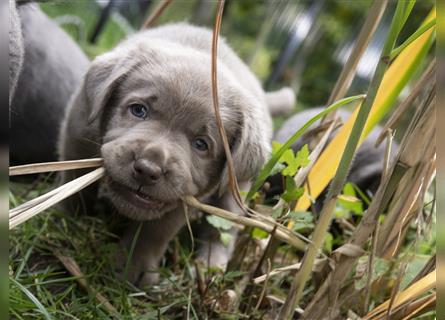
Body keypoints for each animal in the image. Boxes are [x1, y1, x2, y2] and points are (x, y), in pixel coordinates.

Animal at [59, 23, 294, 286]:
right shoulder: (78, 131)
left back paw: (211, 266)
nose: (148, 170)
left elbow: (154, 232)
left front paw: (134, 268)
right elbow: (73, 182)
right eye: (138, 110)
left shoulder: (185, 196)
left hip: (237, 187)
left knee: (223, 228)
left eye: (201, 144)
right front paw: (64, 220)